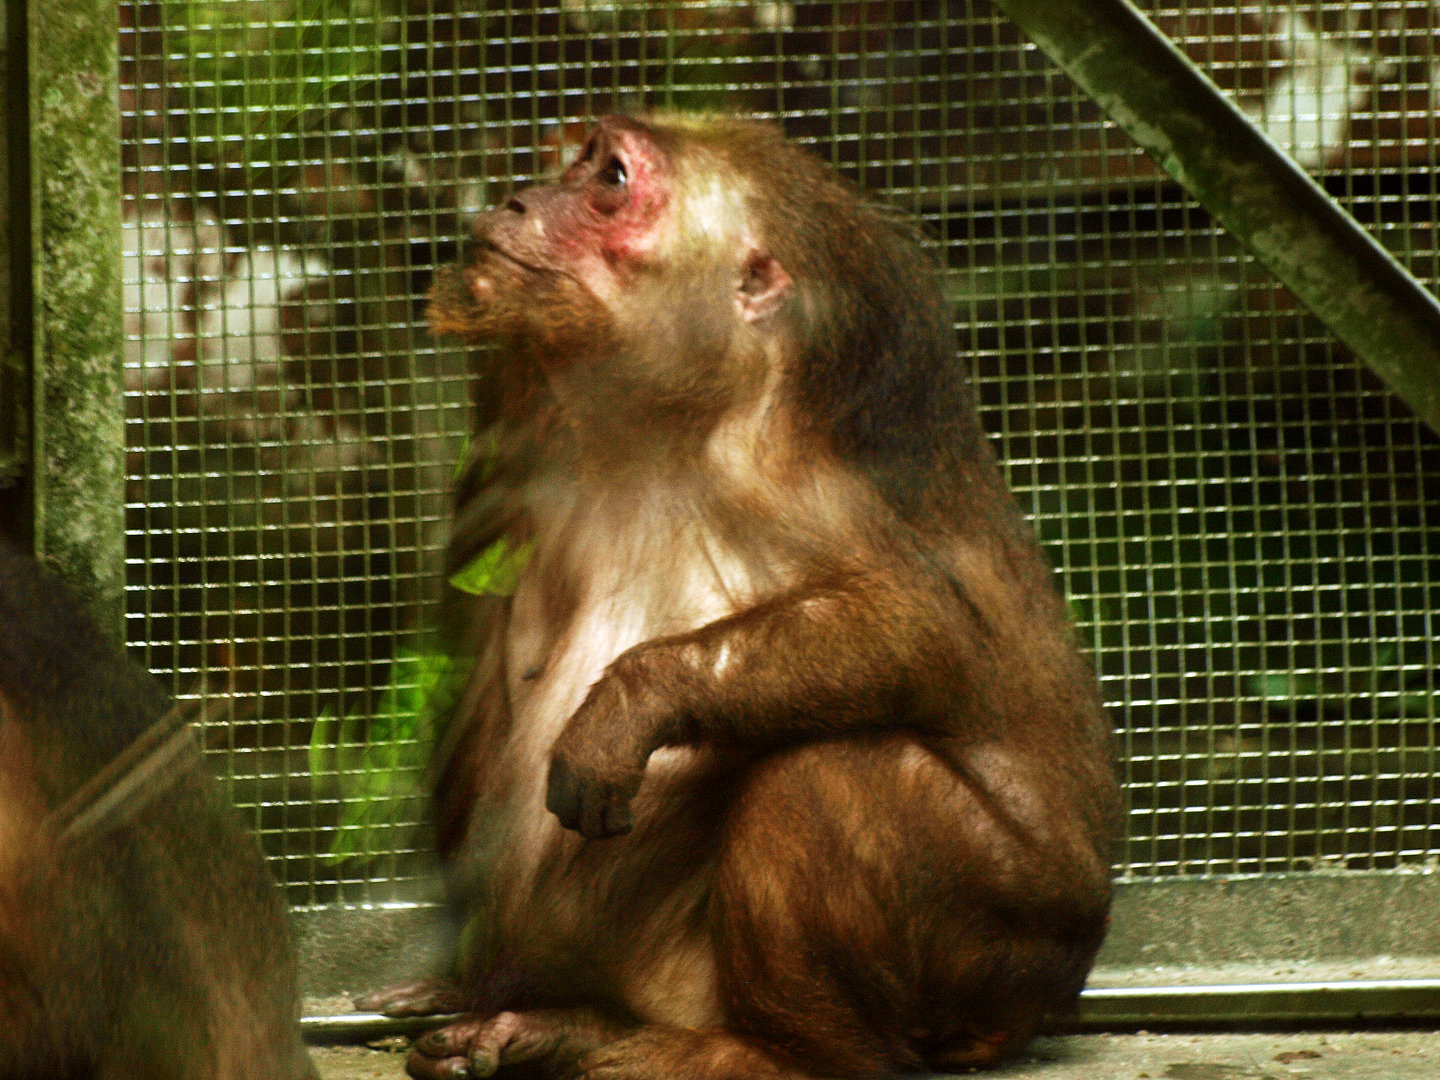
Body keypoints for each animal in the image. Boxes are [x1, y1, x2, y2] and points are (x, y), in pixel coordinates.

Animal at [363, 113, 1118, 1079]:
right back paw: (552, 1020)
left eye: (609, 179)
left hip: (996, 963)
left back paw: (779, 1053)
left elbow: (922, 628)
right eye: (574, 162)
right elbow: (468, 652)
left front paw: (633, 701)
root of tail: (1049, 1003)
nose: (519, 199)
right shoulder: (517, 399)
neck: (671, 413)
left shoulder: (790, 476)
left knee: (825, 771)